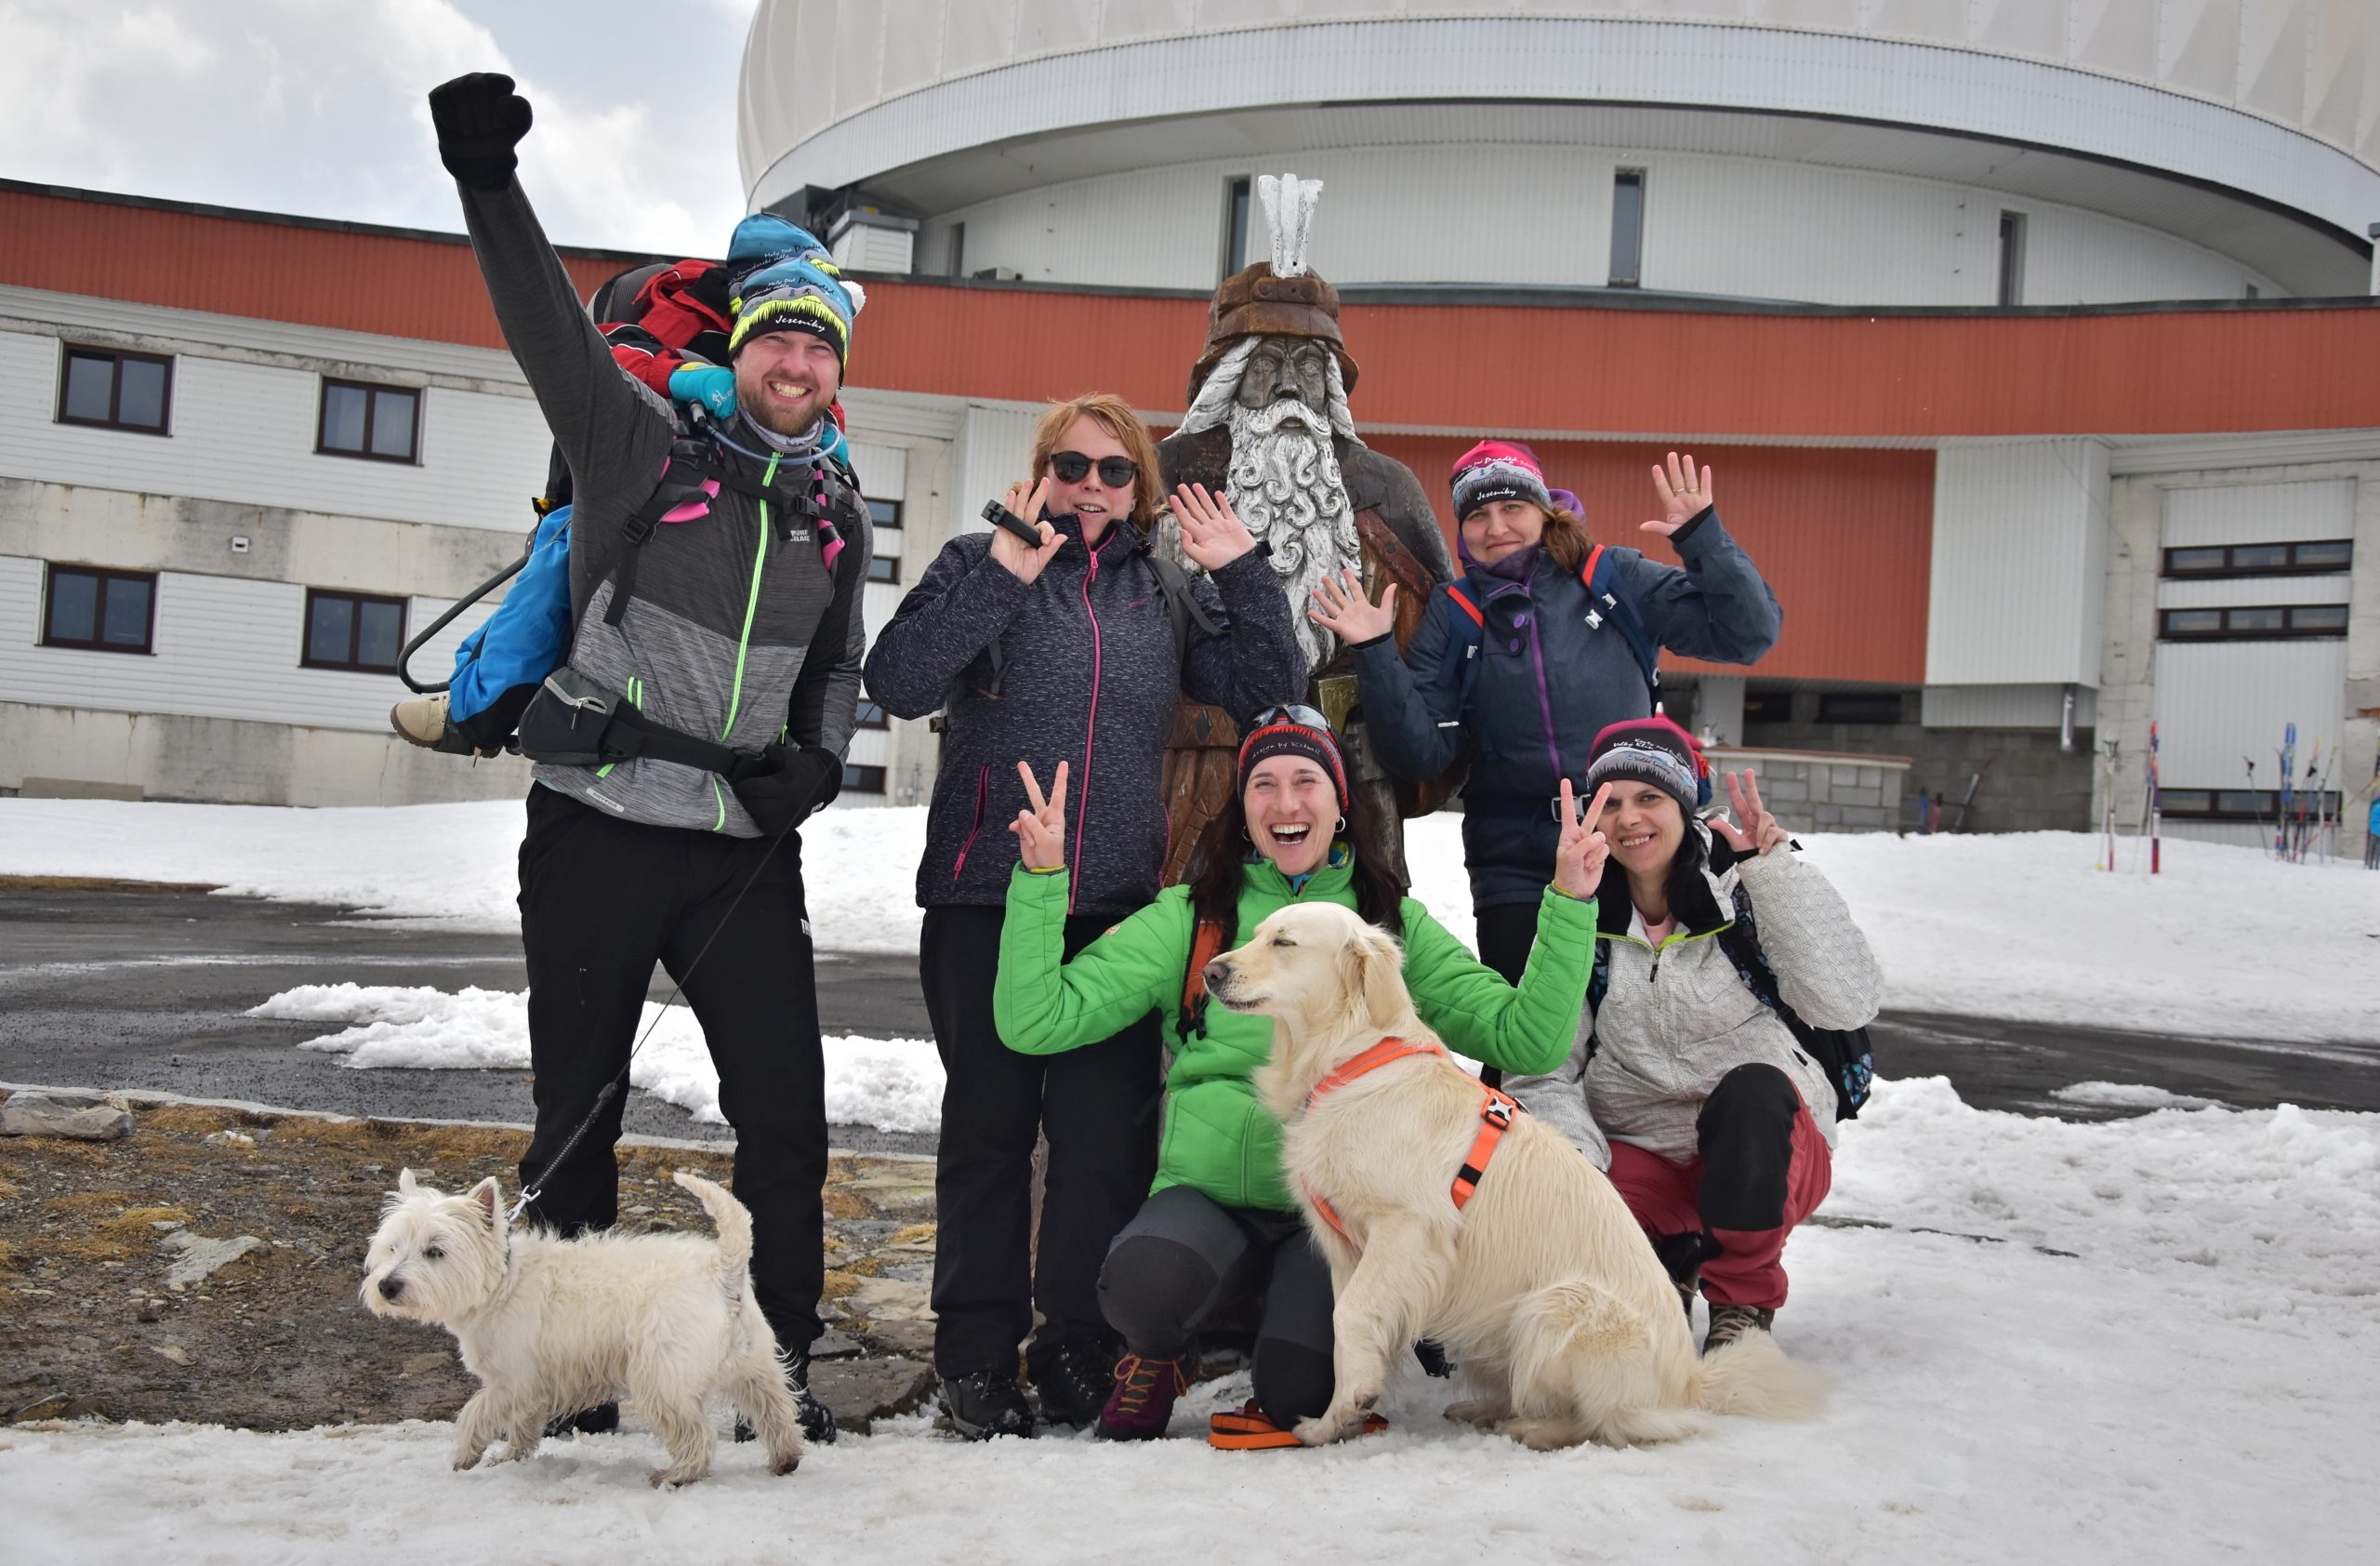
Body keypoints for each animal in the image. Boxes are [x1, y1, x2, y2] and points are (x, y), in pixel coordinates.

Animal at [359, 1166, 809, 1484]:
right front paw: (510, 1456)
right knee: (776, 1410)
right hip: (753, 1365)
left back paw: (678, 1475)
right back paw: (785, 1459)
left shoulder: (513, 1380)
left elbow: (475, 1412)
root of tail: (724, 1268)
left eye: (435, 1251)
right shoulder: (532, 1387)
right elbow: (522, 1424)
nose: (387, 1285)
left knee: (698, 1435)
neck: (501, 1283)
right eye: (393, 1246)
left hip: (659, 1377)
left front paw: (465, 1456)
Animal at [1209, 895, 1818, 1447]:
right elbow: (1346, 1326)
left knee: (1602, 1422)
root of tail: (1688, 1382)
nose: (1213, 972)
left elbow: (1354, 1315)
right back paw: (1482, 1409)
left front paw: (1340, 1414)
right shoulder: (1347, 1246)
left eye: (1285, 943)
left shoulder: (1407, 1230)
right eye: (1256, 933)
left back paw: (1528, 1427)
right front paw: (1340, 1416)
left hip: (1556, 1306)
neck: (1347, 1058)